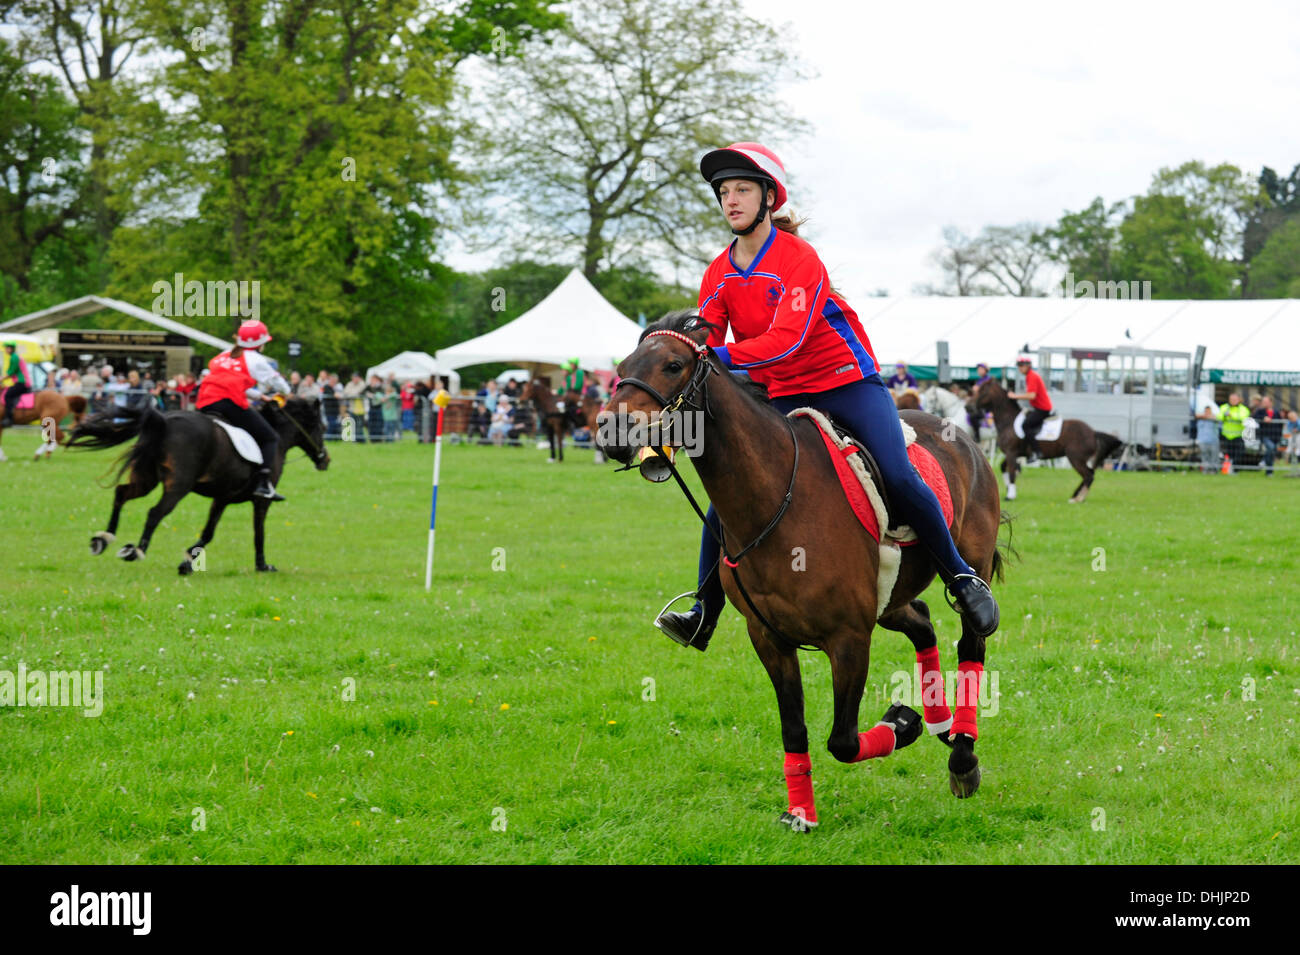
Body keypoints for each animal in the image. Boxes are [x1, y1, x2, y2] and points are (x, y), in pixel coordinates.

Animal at [69, 397, 330, 571]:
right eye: (321, 427)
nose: (325, 460)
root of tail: (165, 420)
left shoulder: (222, 498)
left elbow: (209, 532)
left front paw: (187, 561)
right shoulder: (260, 501)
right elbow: (259, 533)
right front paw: (262, 565)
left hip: (147, 479)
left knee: (121, 494)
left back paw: (103, 539)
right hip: (179, 486)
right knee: (155, 513)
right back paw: (136, 551)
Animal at [598, 314, 1003, 831]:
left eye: (672, 364)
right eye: (622, 368)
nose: (610, 431)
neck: (776, 498)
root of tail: (962, 436)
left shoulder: (849, 639)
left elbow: (843, 740)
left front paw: (900, 722)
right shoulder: (769, 639)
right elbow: (794, 729)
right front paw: (801, 813)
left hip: (957, 570)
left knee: (970, 642)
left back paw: (963, 754)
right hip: (888, 599)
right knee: (923, 622)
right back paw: (938, 718)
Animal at [972, 376, 1123, 504]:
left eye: (982, 391)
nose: (970, 407)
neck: (1008, 420)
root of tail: (1092, 432)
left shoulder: (1011, 453)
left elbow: (1012, 473)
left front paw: (1010, 495)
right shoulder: (1013, 454)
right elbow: (1004, 468)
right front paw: (1007, 490)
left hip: (1075, 458)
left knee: (1088, 475)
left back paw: (1078, 498)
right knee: (1089, 474)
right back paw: (1076, 496)